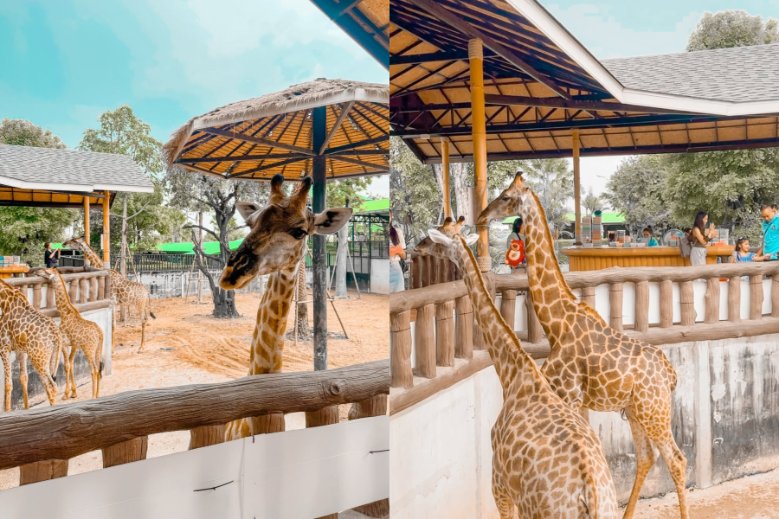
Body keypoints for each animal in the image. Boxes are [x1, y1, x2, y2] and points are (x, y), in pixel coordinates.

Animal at [0, 278, 63, 412]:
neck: (4, 300)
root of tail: (57, 335)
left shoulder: (4, 347)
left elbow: (8, 384)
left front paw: (8, 412)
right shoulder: (20, 350)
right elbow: (23, 378)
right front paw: (26, 409)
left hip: (38, 359)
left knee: (52, 386)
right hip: (49, 358)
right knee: (49, 385)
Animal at [36, 270, 104, 400]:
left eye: (47, 271)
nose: (37, 272)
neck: (65, 313)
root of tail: (99, 333)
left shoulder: (63, 343)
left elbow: (67, 365)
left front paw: (66, 394)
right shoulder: (74, 344)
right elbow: (71, 364)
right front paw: (73, 393)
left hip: (88, 349)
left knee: (93, 369)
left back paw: (93, 396)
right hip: (98, 348)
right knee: (98, 368)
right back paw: (98, 394)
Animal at [418, 217, 620, 516]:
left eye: (436, 237)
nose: (416, 247)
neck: (513, 374)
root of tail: (591, 495)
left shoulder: (499, 483)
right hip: (610, 508)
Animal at [482, 174, 688, 519]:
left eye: (506, 197)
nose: (482, 216)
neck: (556, 322)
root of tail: (671, 375)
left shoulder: (569, 392)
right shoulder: (577, 398)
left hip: (654, 410)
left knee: (676, 459)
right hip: (636, 411)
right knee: (647, 456)